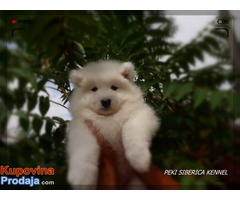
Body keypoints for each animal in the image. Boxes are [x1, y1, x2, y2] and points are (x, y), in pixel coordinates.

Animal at [66, 60, 159, 188]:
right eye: (94, 89)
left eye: (114, 87)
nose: (105, 101)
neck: (108, 117)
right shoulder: (82, 128)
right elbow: (84, 148)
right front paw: (82, 178)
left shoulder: (140, 114)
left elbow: (132, 131)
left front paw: (139, 158)